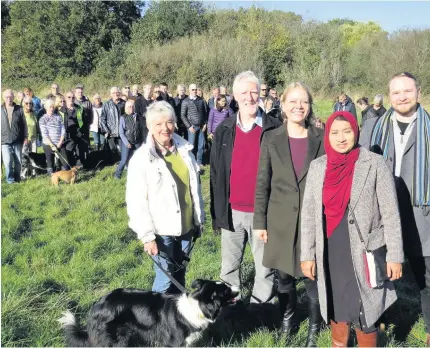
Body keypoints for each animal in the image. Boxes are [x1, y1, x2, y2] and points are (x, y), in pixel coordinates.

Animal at [58, 278, 239, 346]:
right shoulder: (174, 343)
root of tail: (96, 306)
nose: (238, 288)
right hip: (116, 338)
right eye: (226, 290)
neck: (197, 305)